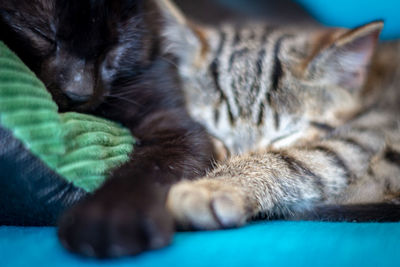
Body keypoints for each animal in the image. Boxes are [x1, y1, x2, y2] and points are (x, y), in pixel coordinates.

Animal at [0, 0, 216, 260]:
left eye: (113, 47)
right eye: (41, 34)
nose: (78, 92)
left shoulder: (170, 120)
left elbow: (146, 169)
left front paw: (111, 216)